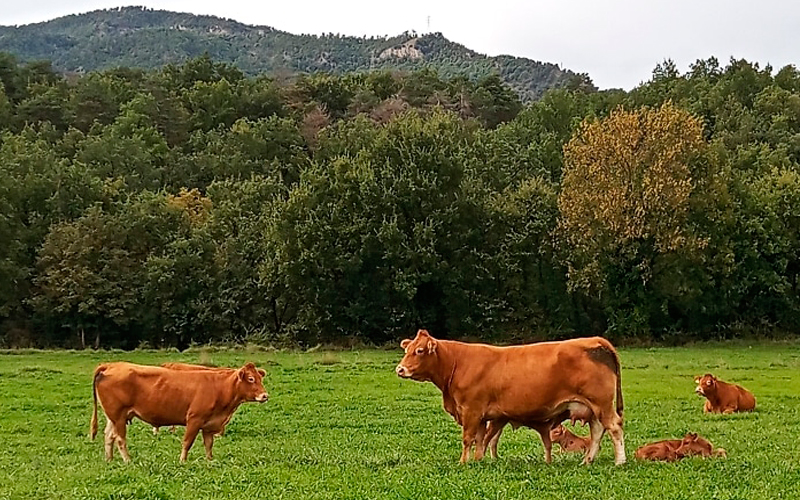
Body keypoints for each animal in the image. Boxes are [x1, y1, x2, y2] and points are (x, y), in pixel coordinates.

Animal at [89, 360, 268, 460]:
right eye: (251, 379)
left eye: (260, 378)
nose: (265, 395)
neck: (219, 387)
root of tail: (111, 365)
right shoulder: (194, 419)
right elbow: (187, 442)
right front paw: (183, 461)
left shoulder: (209, 424)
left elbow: (209, 444)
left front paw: (210, 461)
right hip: (118, 416)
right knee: (120, 439)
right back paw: (128, 461)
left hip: (113, 417)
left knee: (108, 436)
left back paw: (109, 460)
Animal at [394, 328, 624, 464]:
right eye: (408, 349)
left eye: (420, 350)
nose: (400, 369)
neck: (457, 363)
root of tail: (595, 341)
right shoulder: (481, 415)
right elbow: (481, 439)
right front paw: (478, 461)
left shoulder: (471, 410)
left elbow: (468, 438)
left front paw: (463, 462)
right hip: (593, 408)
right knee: (598, 431)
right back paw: (587, 461)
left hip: (601, 404)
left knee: (614, 427)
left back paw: (619, 461)